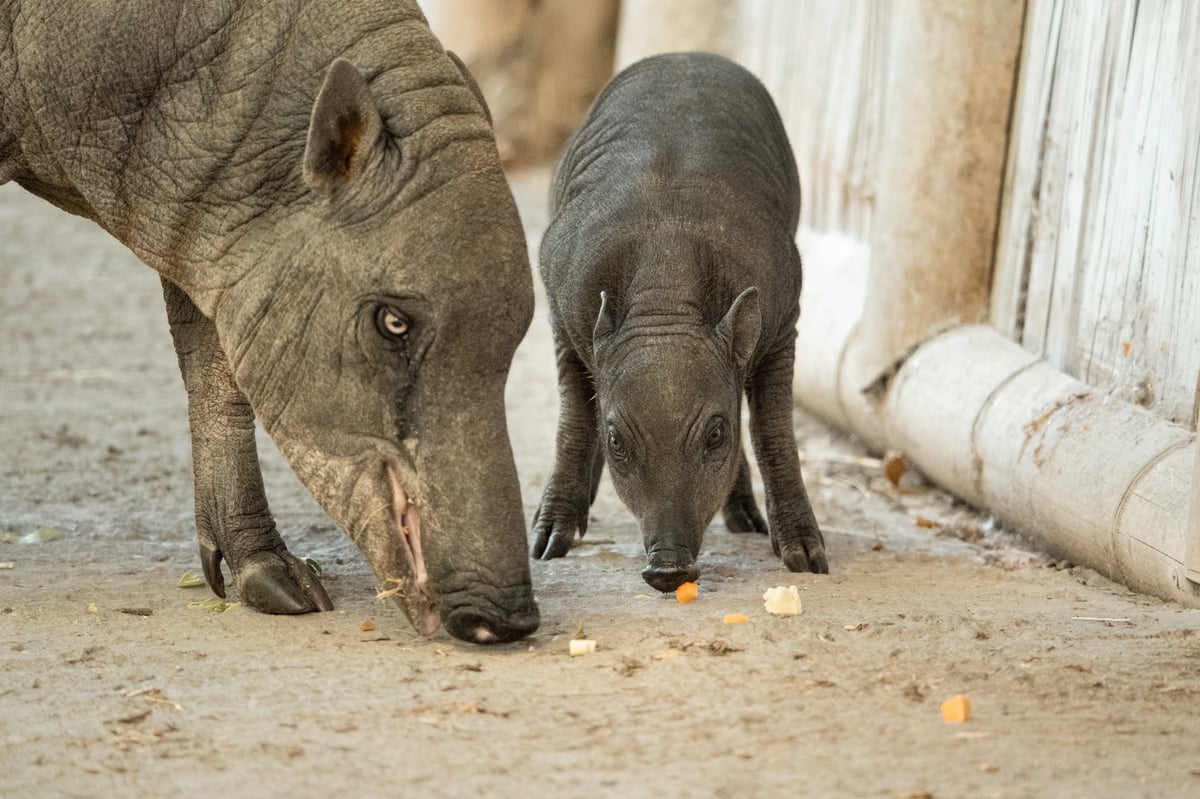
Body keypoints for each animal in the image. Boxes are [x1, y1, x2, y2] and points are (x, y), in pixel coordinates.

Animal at [1, 1, 539, 643]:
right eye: (392, 323)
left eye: (517, 336)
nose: (505, 620)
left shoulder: (214, 239)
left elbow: (216, 374)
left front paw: (269, 576)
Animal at [532, 52, 828, 591]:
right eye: (617, 440)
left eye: (715, 435)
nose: (666, 570)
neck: (665, 290)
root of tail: (685, 54)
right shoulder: (562, 313)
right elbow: (575, 420)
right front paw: (547, 544)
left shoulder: (783, 320)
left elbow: (773, 429)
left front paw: (806, 557)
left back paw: (746, 521)